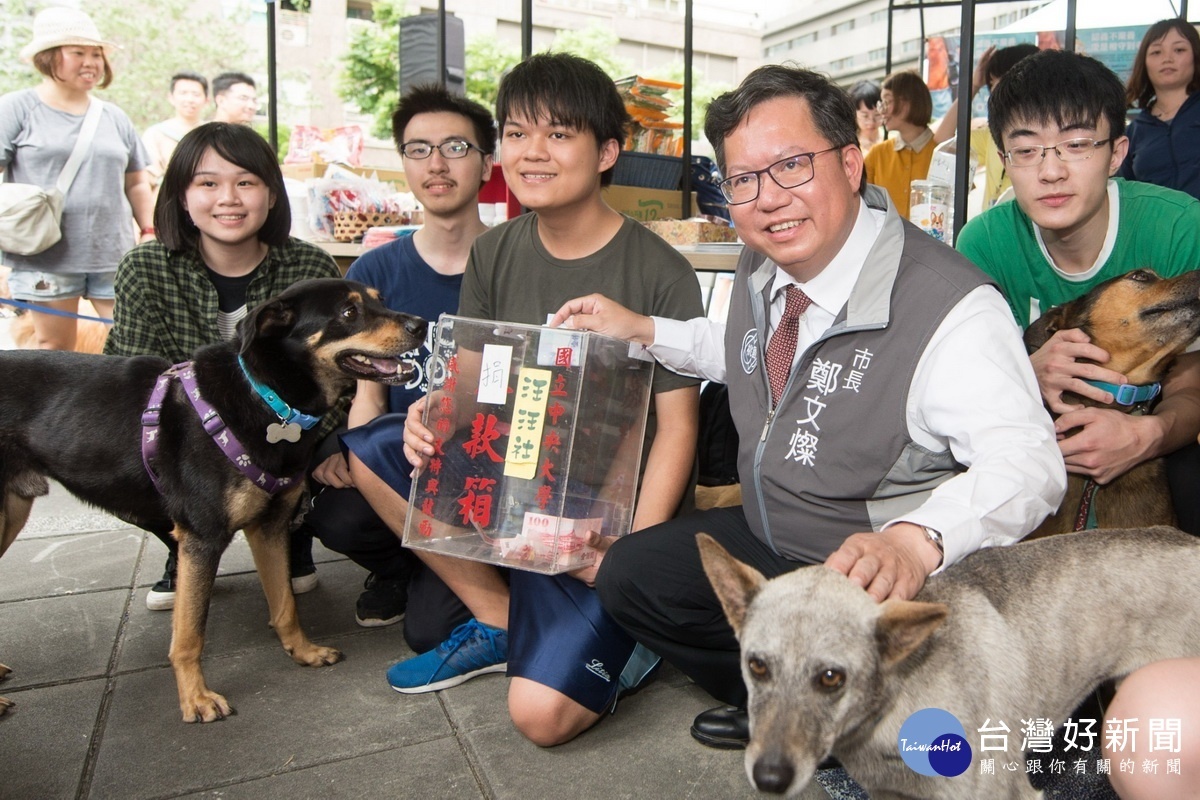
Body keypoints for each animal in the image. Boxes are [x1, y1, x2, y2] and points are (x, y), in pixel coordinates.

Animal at [0, 278, 427, 724]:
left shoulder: (269, 526)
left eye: (379, 300)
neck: (267, 397)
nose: (421, 324)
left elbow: (285, 604)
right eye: (348, 312)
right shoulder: (201, 539)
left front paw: (303, 652)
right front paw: (196, 699)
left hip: (11, 511)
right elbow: (189, 633)